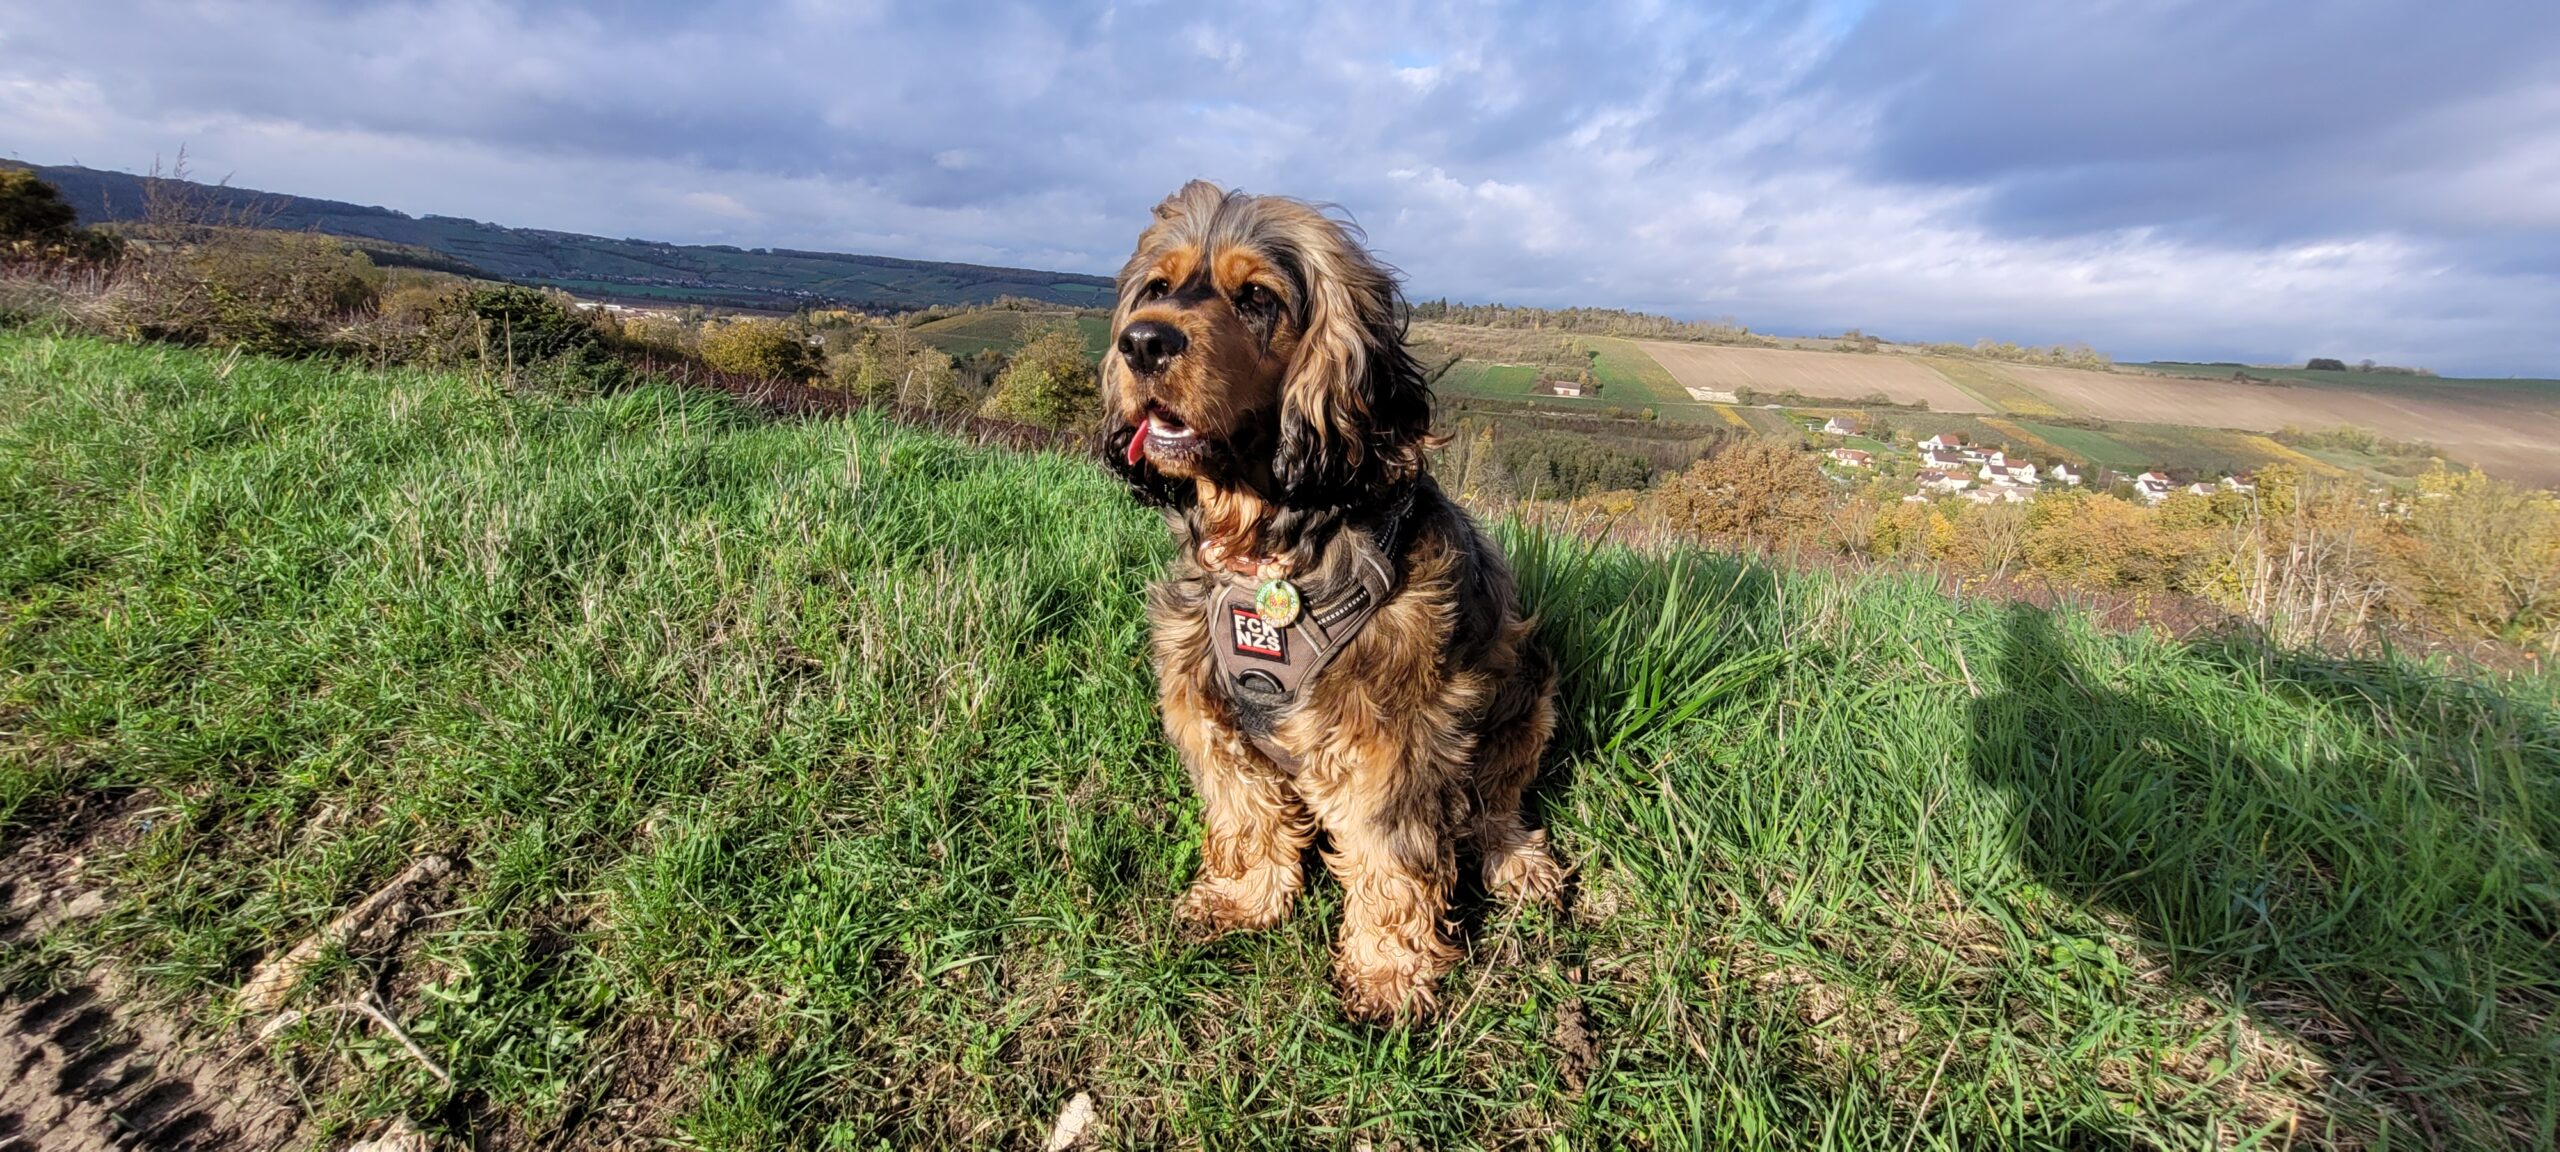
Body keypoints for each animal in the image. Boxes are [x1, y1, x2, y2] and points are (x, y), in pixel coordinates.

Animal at [1100, 180, 1556, 1018]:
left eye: (1256, 297)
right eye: (1157, 289)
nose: (1142, 344)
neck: (1268, 546)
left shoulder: (1392, 733)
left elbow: (1390, 857)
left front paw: (1387, 971)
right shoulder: (1206, 702)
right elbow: (1247, 813)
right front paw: (1245, 898)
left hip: (1526, 698)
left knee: (1495, 809)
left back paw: (1517, 863)